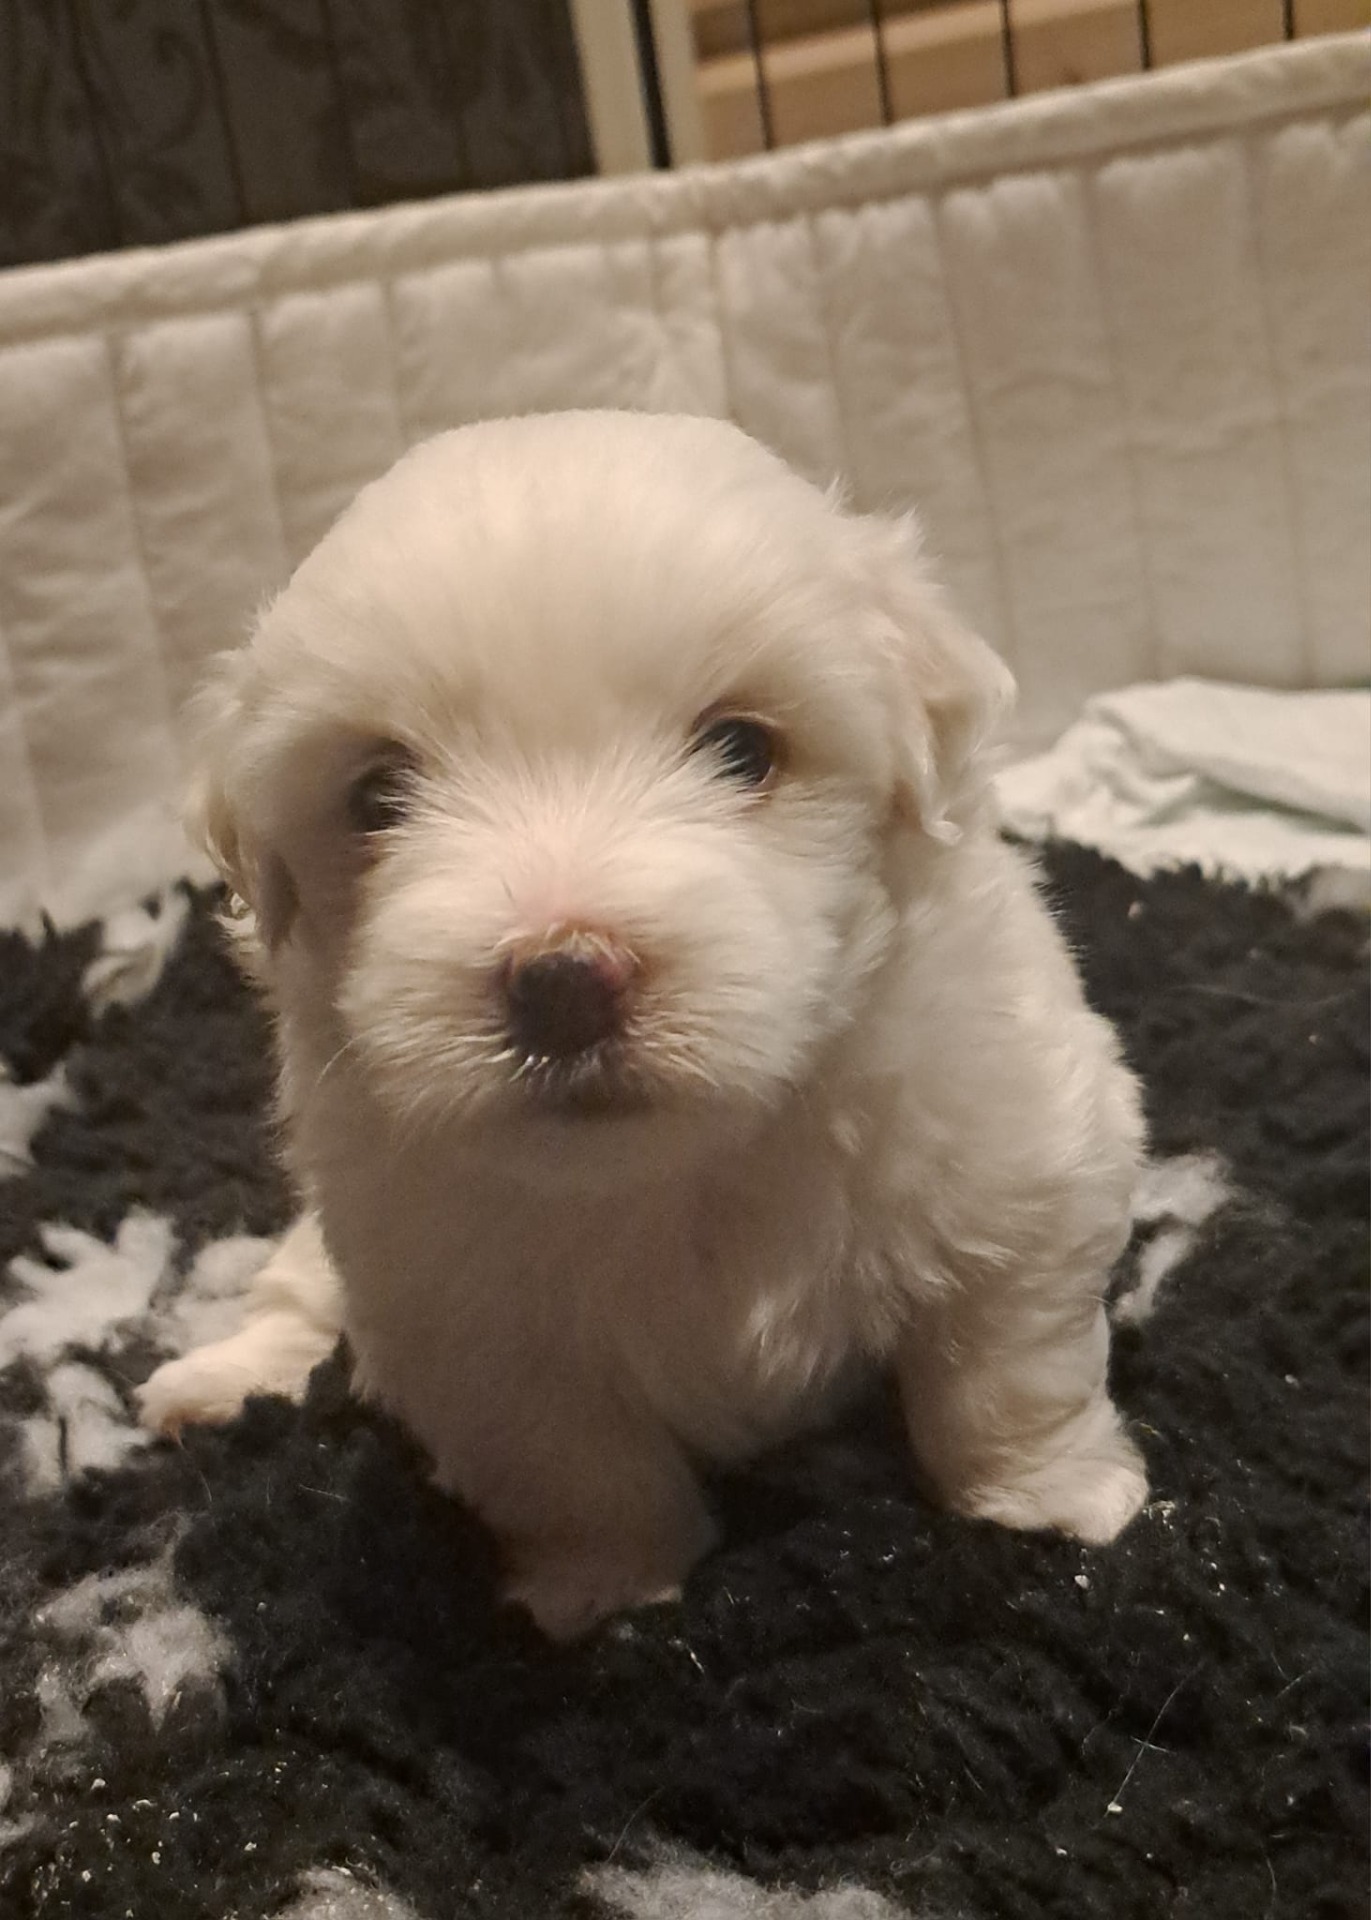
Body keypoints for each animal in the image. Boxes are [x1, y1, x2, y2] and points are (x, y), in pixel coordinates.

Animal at [138, 412, 1148, 1639]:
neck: (681, 1163)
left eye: (744, 750)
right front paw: (605, 1589)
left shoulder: (1021, 1166)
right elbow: (576, 1467)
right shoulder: (467, 1327)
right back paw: (220, 1386)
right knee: (294, 1294)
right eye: (377, 797)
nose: (564, 983)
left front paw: (1050, 1503)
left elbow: (1005, 1365)